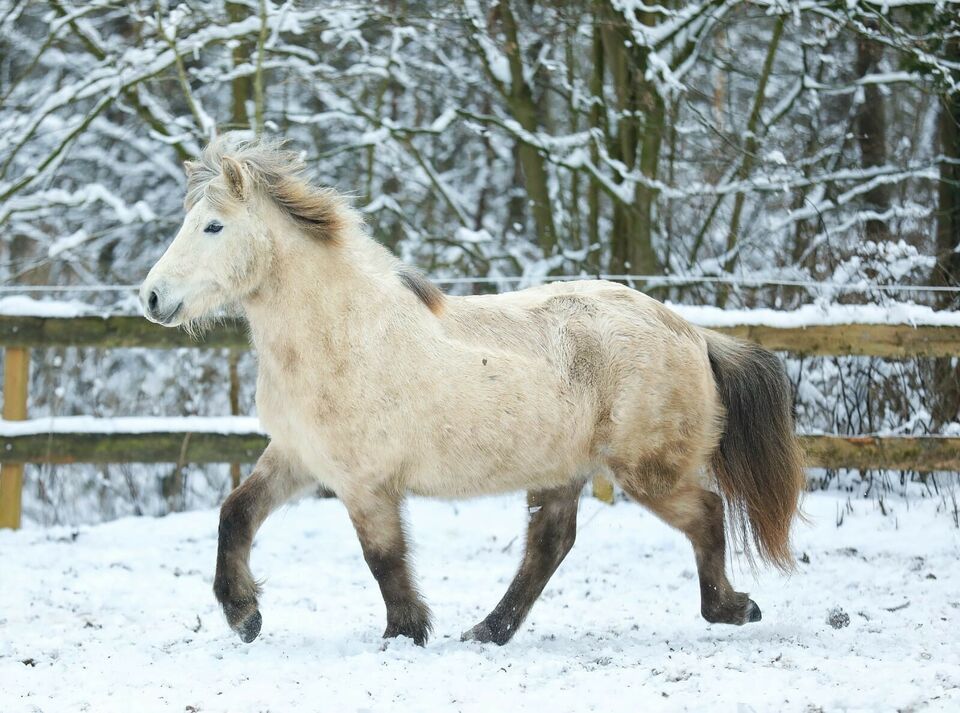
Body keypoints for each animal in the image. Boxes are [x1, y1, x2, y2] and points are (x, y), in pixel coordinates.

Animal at [142, 134, 804, 644]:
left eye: (213, 225)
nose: (150, 297)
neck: (343, 333)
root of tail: (689, 331)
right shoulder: (299, 459)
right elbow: (235, 514)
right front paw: (244, 616)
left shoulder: (365, 483)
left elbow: (384, 560)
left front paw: (404, 633)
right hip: (562, 469)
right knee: (550, 545)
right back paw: (487, 632)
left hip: (647, 471)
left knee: (706, 513)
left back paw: (734, 608)